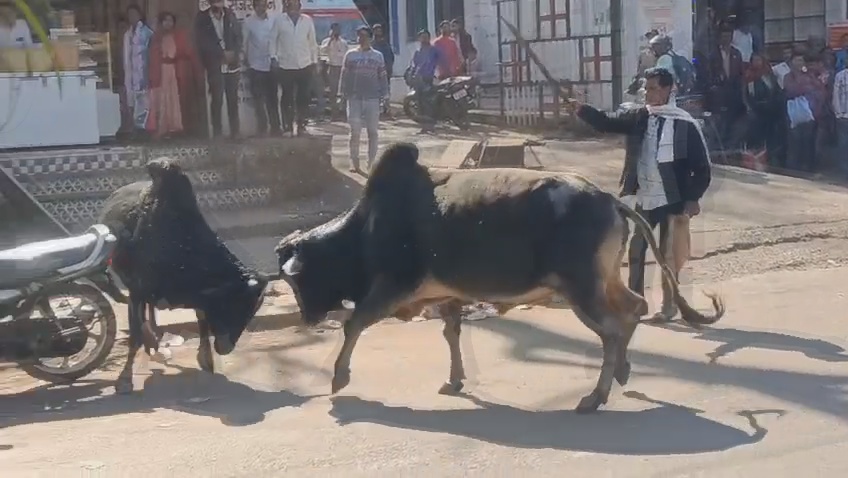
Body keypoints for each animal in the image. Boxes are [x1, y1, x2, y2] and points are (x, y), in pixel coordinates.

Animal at [99, 158, 268, 394]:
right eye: (235, 305)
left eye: (251, 310)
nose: (226, 348)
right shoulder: (137, 291)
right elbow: (134, 336)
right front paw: (124, 379)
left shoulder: (199, 297)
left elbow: (202, 322)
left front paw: (206, 359)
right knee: (144, 318)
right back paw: (151, 340)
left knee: (151, 314)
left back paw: (155, 339)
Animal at [275, 142, 724, 413]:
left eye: (297, 281)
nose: (307, 319)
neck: (366, 227)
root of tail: (610, 200)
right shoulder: (447, 295)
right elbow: (451, 333)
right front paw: (455, 380)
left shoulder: (391, 286)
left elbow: (354, 324)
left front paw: (339, 377)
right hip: (604, 280)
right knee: (634, 308)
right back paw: (622, 373)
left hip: (580, 290)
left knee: (613, 329)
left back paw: (594, 396)